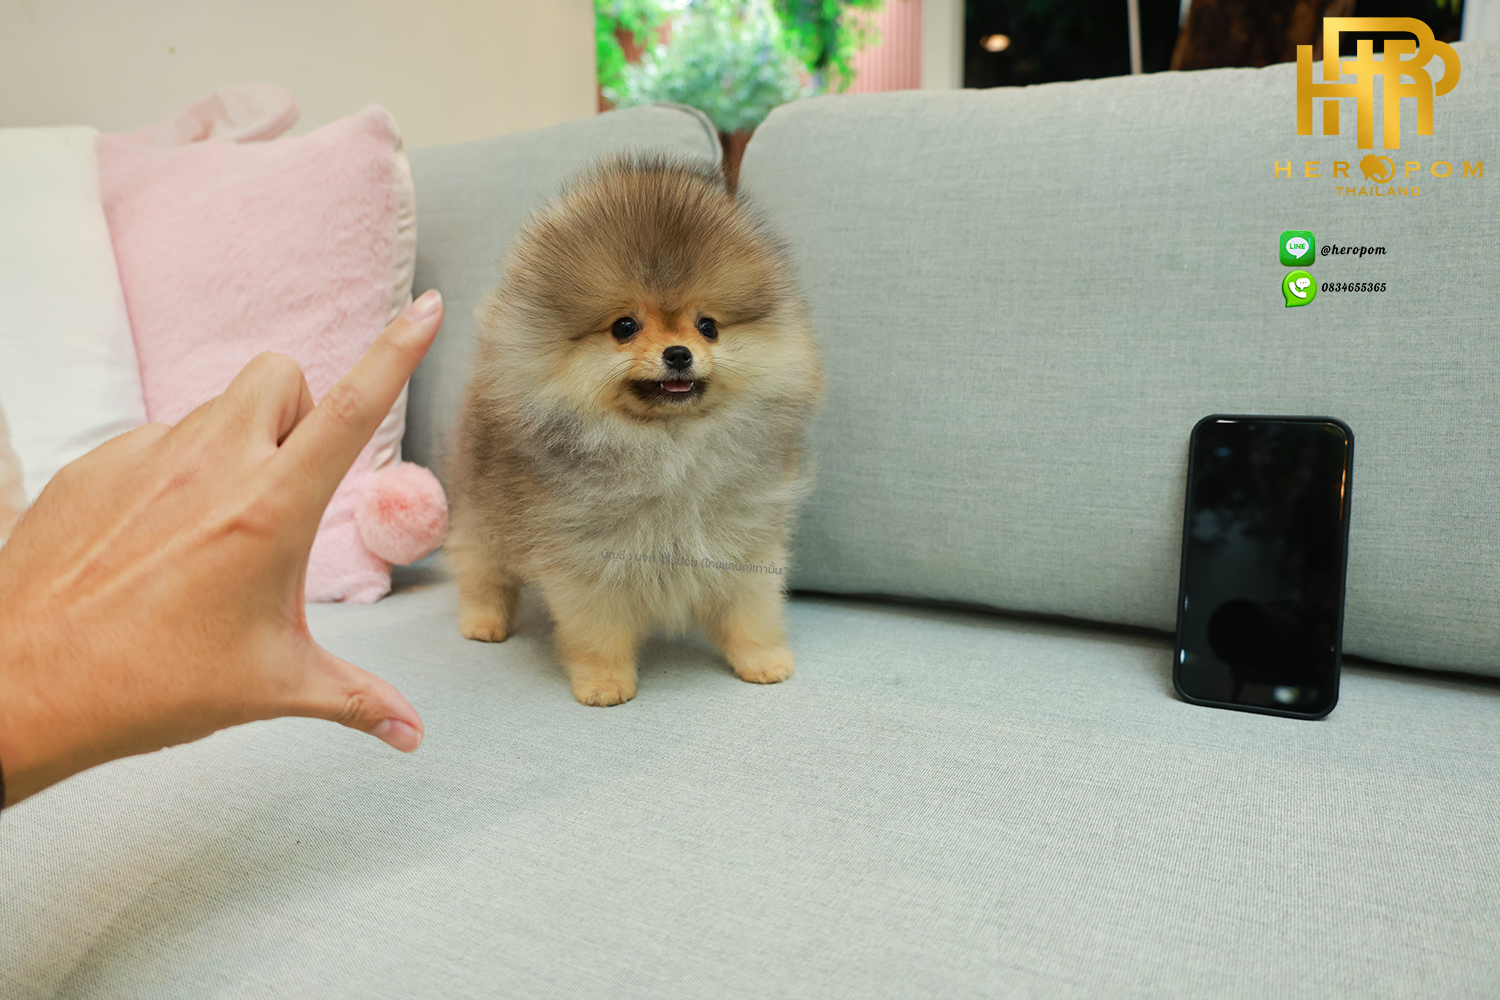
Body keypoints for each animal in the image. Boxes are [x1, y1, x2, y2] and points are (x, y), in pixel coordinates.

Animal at [447, 155, 824, 706]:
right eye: (625, 327)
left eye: (708, 326)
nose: (679, 353)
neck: (671, 444)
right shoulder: (585, 558)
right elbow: (598, 632)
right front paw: (604, 684)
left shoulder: (746, 539)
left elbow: (751, 612)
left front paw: (764, 662)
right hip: (482, 514)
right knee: (479, 568)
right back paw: (483, 622)